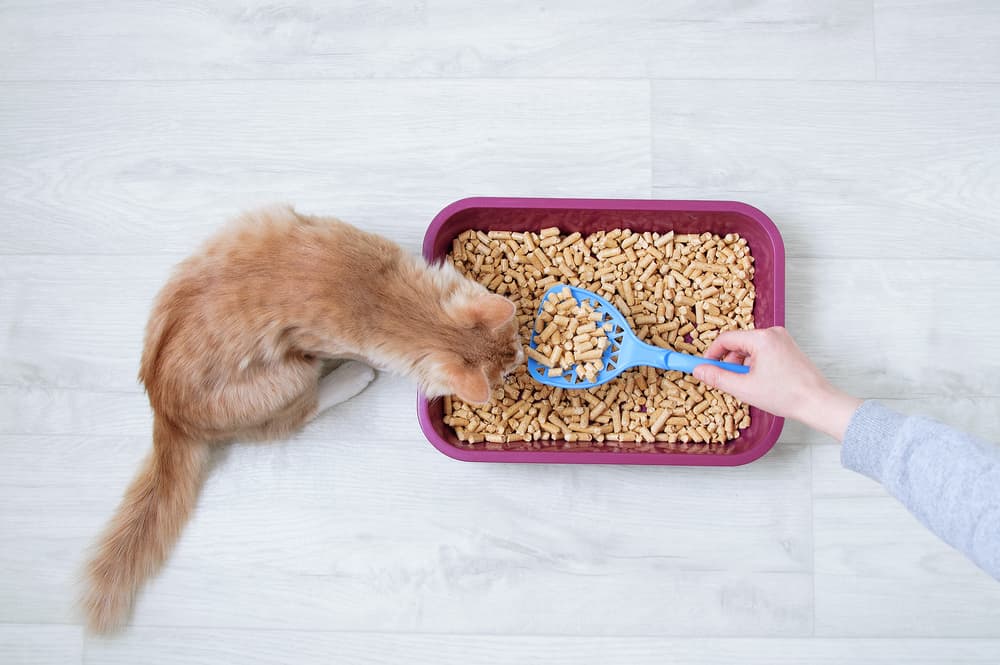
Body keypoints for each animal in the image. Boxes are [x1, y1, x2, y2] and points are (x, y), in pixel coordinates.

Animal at [83, 205, 524, 632]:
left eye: (516, 341)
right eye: (509, 358)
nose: (521, 356)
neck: (385, 302)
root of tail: (164, 408)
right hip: (287, 378)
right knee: (295, 415)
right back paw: (351, 377)